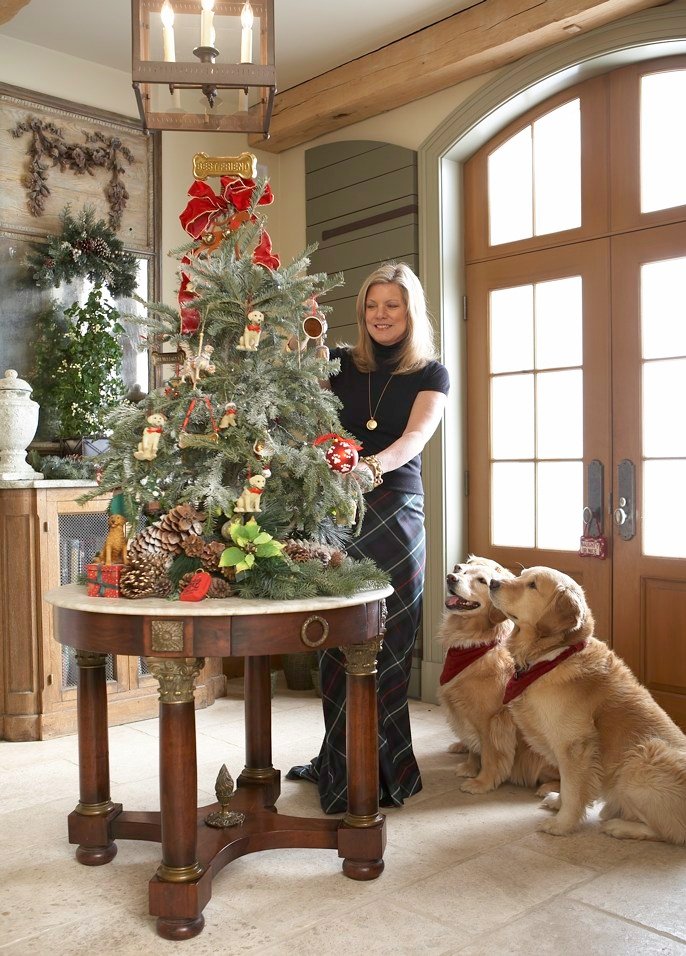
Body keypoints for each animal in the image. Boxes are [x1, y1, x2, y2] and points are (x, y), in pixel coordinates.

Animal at [440, 556, 560, 796]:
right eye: (460, 569)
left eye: (482, 581)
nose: (451, 576)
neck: (474, 642)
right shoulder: (468, 714)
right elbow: (474, 748)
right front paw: (469, 768)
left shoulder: (492, 720)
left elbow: (489, 754)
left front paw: (481, 782)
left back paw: (549, 789)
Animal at [492, 568, 686, 844]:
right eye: (521, 574)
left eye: (532, 585)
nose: (492, 582)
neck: (551, 656)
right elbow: (567, 785)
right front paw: (558, 802)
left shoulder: (575, 744)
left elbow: (573, 789)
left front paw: (562, 824)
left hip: (641, 760)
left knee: (671, 832)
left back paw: (619, 826)